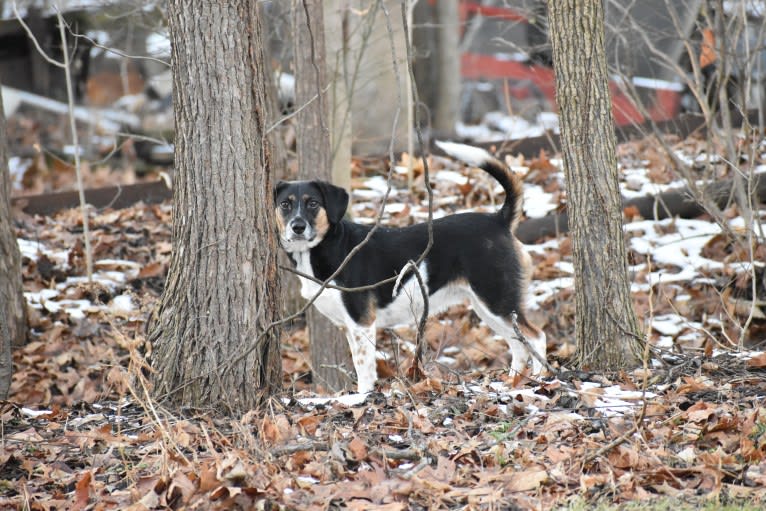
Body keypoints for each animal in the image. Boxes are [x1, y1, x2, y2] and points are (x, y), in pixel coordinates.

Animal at [276, 142, 544, 394]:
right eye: (285, 205)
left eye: (313, 203)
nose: (297, 227)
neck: (330, 247)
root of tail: (498, 220)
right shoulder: (349, 326)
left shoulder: (362, 323)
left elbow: (364, 368)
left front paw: (362, 397)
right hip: (488, 307)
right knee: (518, 344)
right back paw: (513, 382)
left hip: (497, 300)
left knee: (536, 337)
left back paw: (540, 379)